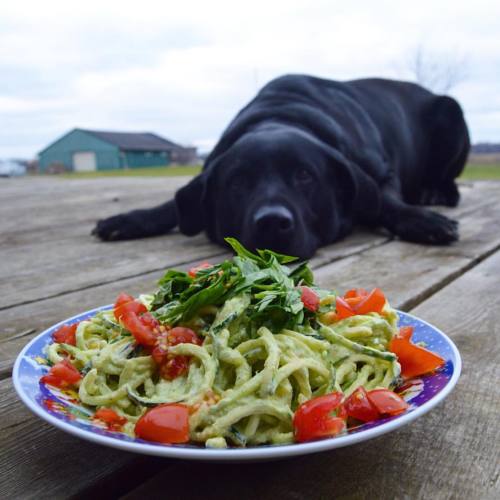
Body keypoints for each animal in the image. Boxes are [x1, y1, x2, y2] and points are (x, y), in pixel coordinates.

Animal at [93, 74, 468, 258]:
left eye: (305, 176)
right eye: (237, 182)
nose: (273, 222)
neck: (279, 114)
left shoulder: (381, 171)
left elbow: (386, 201)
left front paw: (421, 220)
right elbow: (172, 205)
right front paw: (128, 219)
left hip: (452, 111)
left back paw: (434, 194)